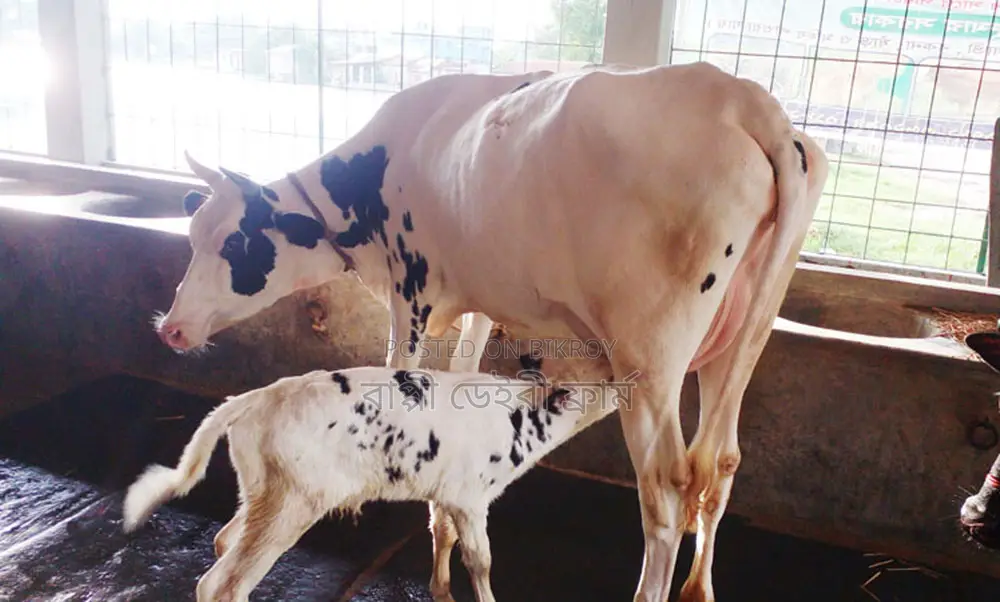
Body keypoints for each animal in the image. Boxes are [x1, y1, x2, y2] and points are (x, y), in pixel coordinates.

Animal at [153, 61, 829, 601]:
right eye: (193, 234)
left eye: (235, 244)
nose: (171, 328)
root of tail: (749, 102)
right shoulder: (477, 302)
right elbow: (456, 380)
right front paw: (443, 544)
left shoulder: (410, 293)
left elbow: (404, 375)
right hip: (740, 338)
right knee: (722, 465)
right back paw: (699, 588)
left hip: (650, 360)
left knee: (664, 492)